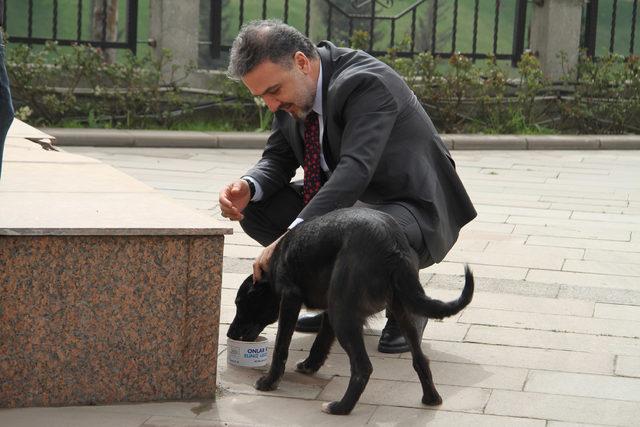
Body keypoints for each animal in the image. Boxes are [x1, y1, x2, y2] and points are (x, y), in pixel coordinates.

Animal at [228, 209, 472, 416]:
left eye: (240, 303)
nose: (229, 334)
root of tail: (392, 246)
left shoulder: (290, 300)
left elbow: (281, 347)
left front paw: (269, 382)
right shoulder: (328, 310)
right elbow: (321, 343)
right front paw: (309, 365)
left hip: (343, 315)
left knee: (363, 368)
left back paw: (341, 408)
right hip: (399, 311)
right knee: (420, 359)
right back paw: (431, 398)